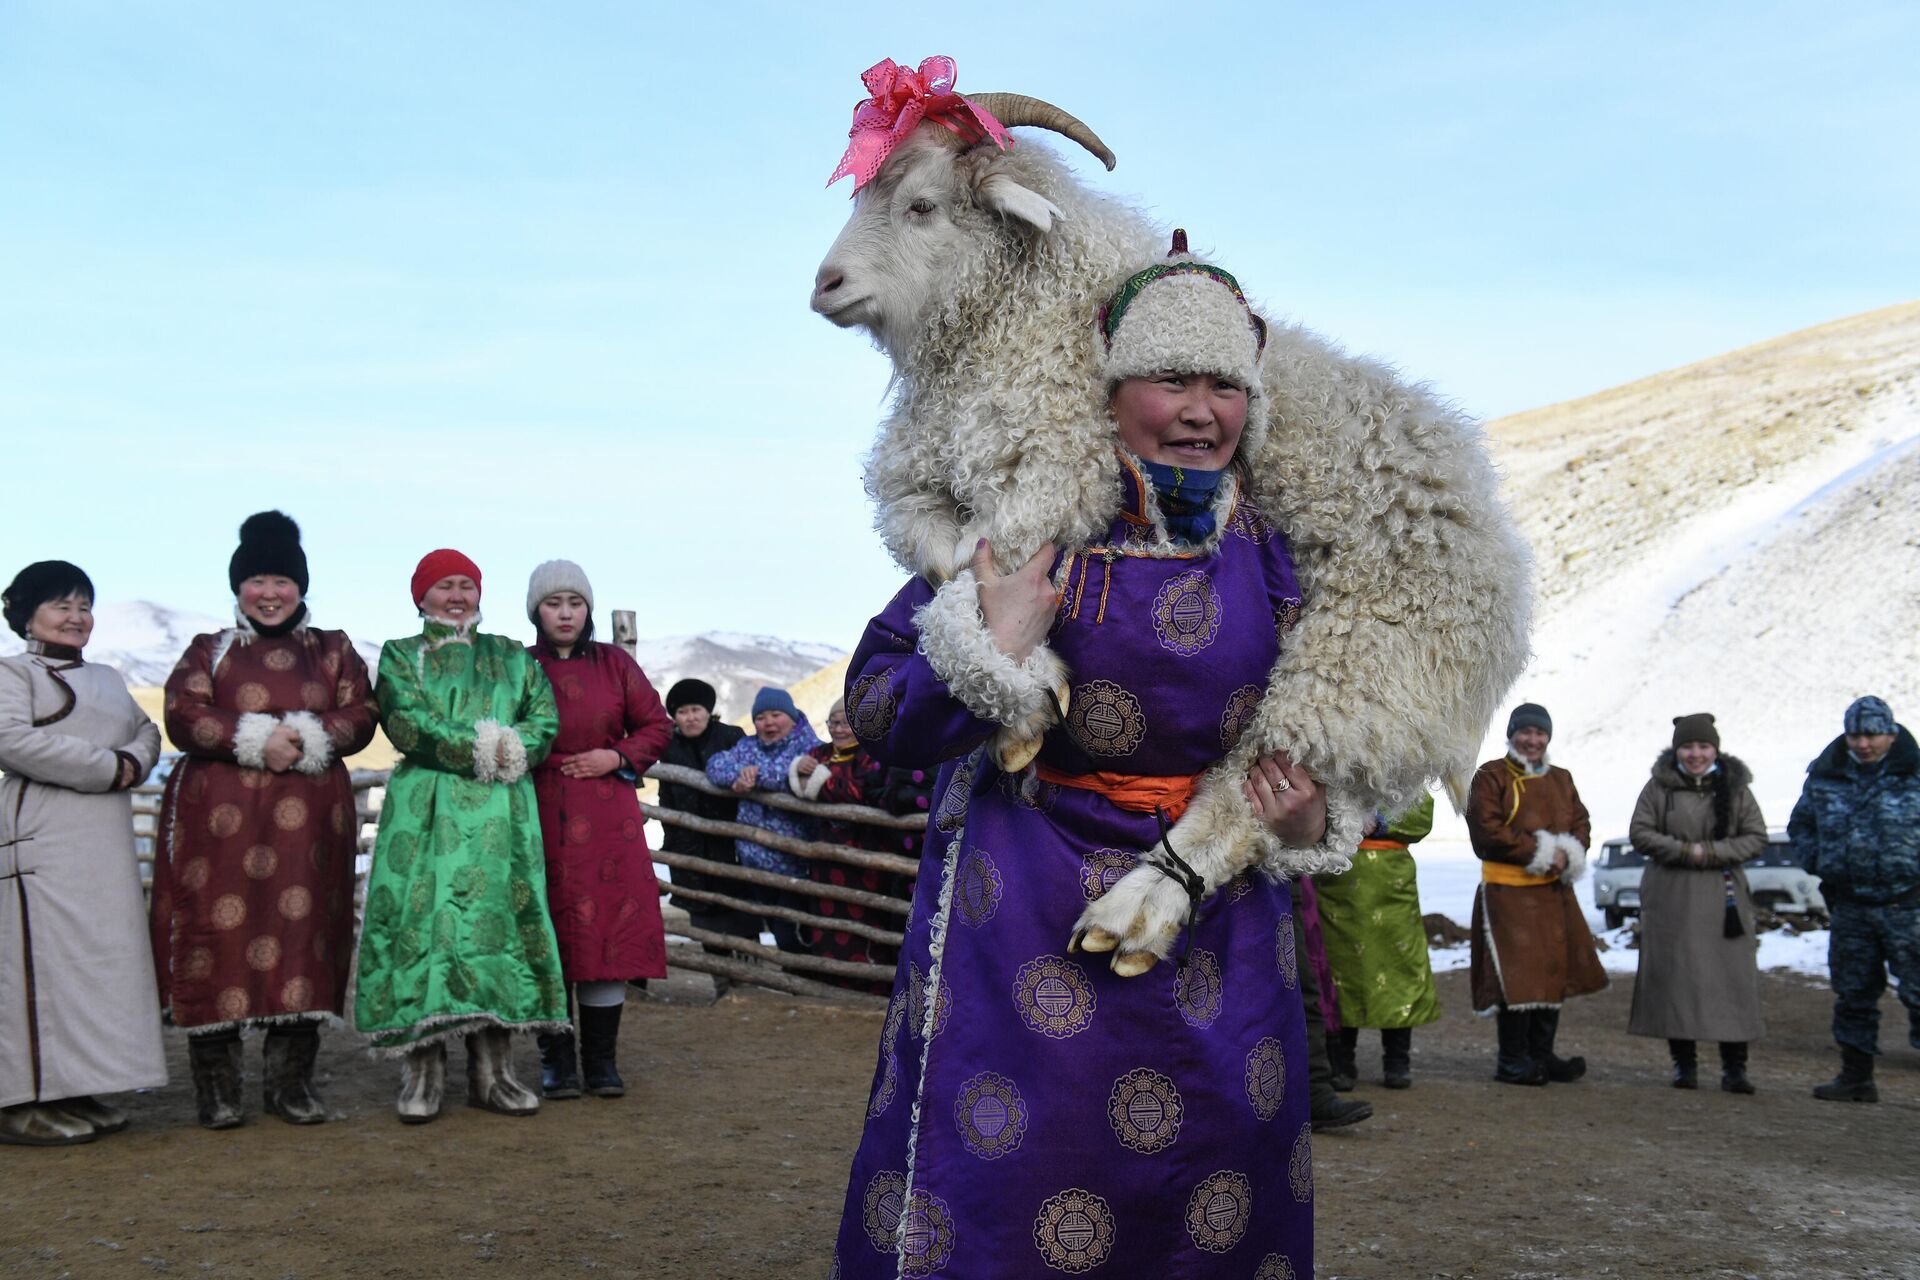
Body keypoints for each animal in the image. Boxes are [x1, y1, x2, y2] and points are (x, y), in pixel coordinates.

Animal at [810, 94, 1528, 967]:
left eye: (922, 207)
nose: (825, 284)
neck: (1029, 316)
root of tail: (1499, 548)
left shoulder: (1053, 468)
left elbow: (983, 572)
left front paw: (1023, 701)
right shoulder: (921, 479)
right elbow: (944, 560)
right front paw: (1018, 677)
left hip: (1368, 661)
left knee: (1247, 793)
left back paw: (1140, 906)